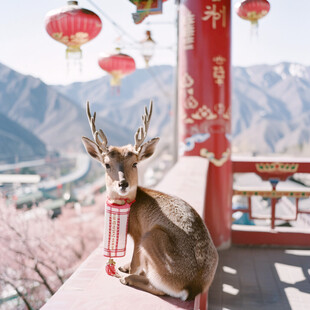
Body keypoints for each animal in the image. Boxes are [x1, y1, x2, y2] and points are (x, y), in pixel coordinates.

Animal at [81, 101, 219, 300]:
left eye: (135, 163)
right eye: (107, 164)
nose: (123, 183)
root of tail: (193, 286)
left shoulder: (139, 233)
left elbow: (135, 261)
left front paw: (128, 269)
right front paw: (124, 266)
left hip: (152, 238)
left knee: (159, 288)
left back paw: (126, 278)